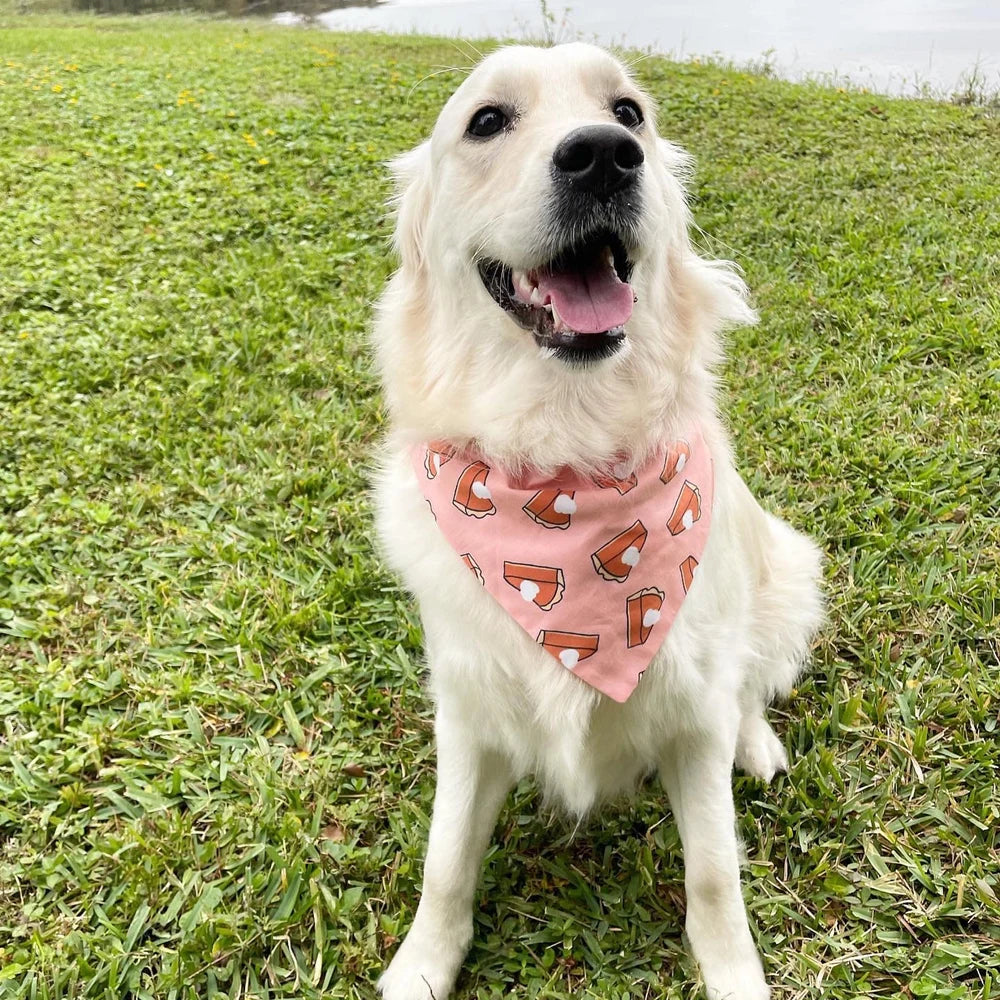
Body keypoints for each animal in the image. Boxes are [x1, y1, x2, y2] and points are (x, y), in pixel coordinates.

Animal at [372, 41, 824, 1000]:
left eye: (629, 114)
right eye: (487, 121)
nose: (605, 157)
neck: (567, 463)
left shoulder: (692, 712)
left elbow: (714, 871)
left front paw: (733, 974)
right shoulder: (467, 707)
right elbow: (445, 858)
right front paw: (423, 965)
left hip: (786, 573)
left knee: (750, 686)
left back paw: (757, 744)